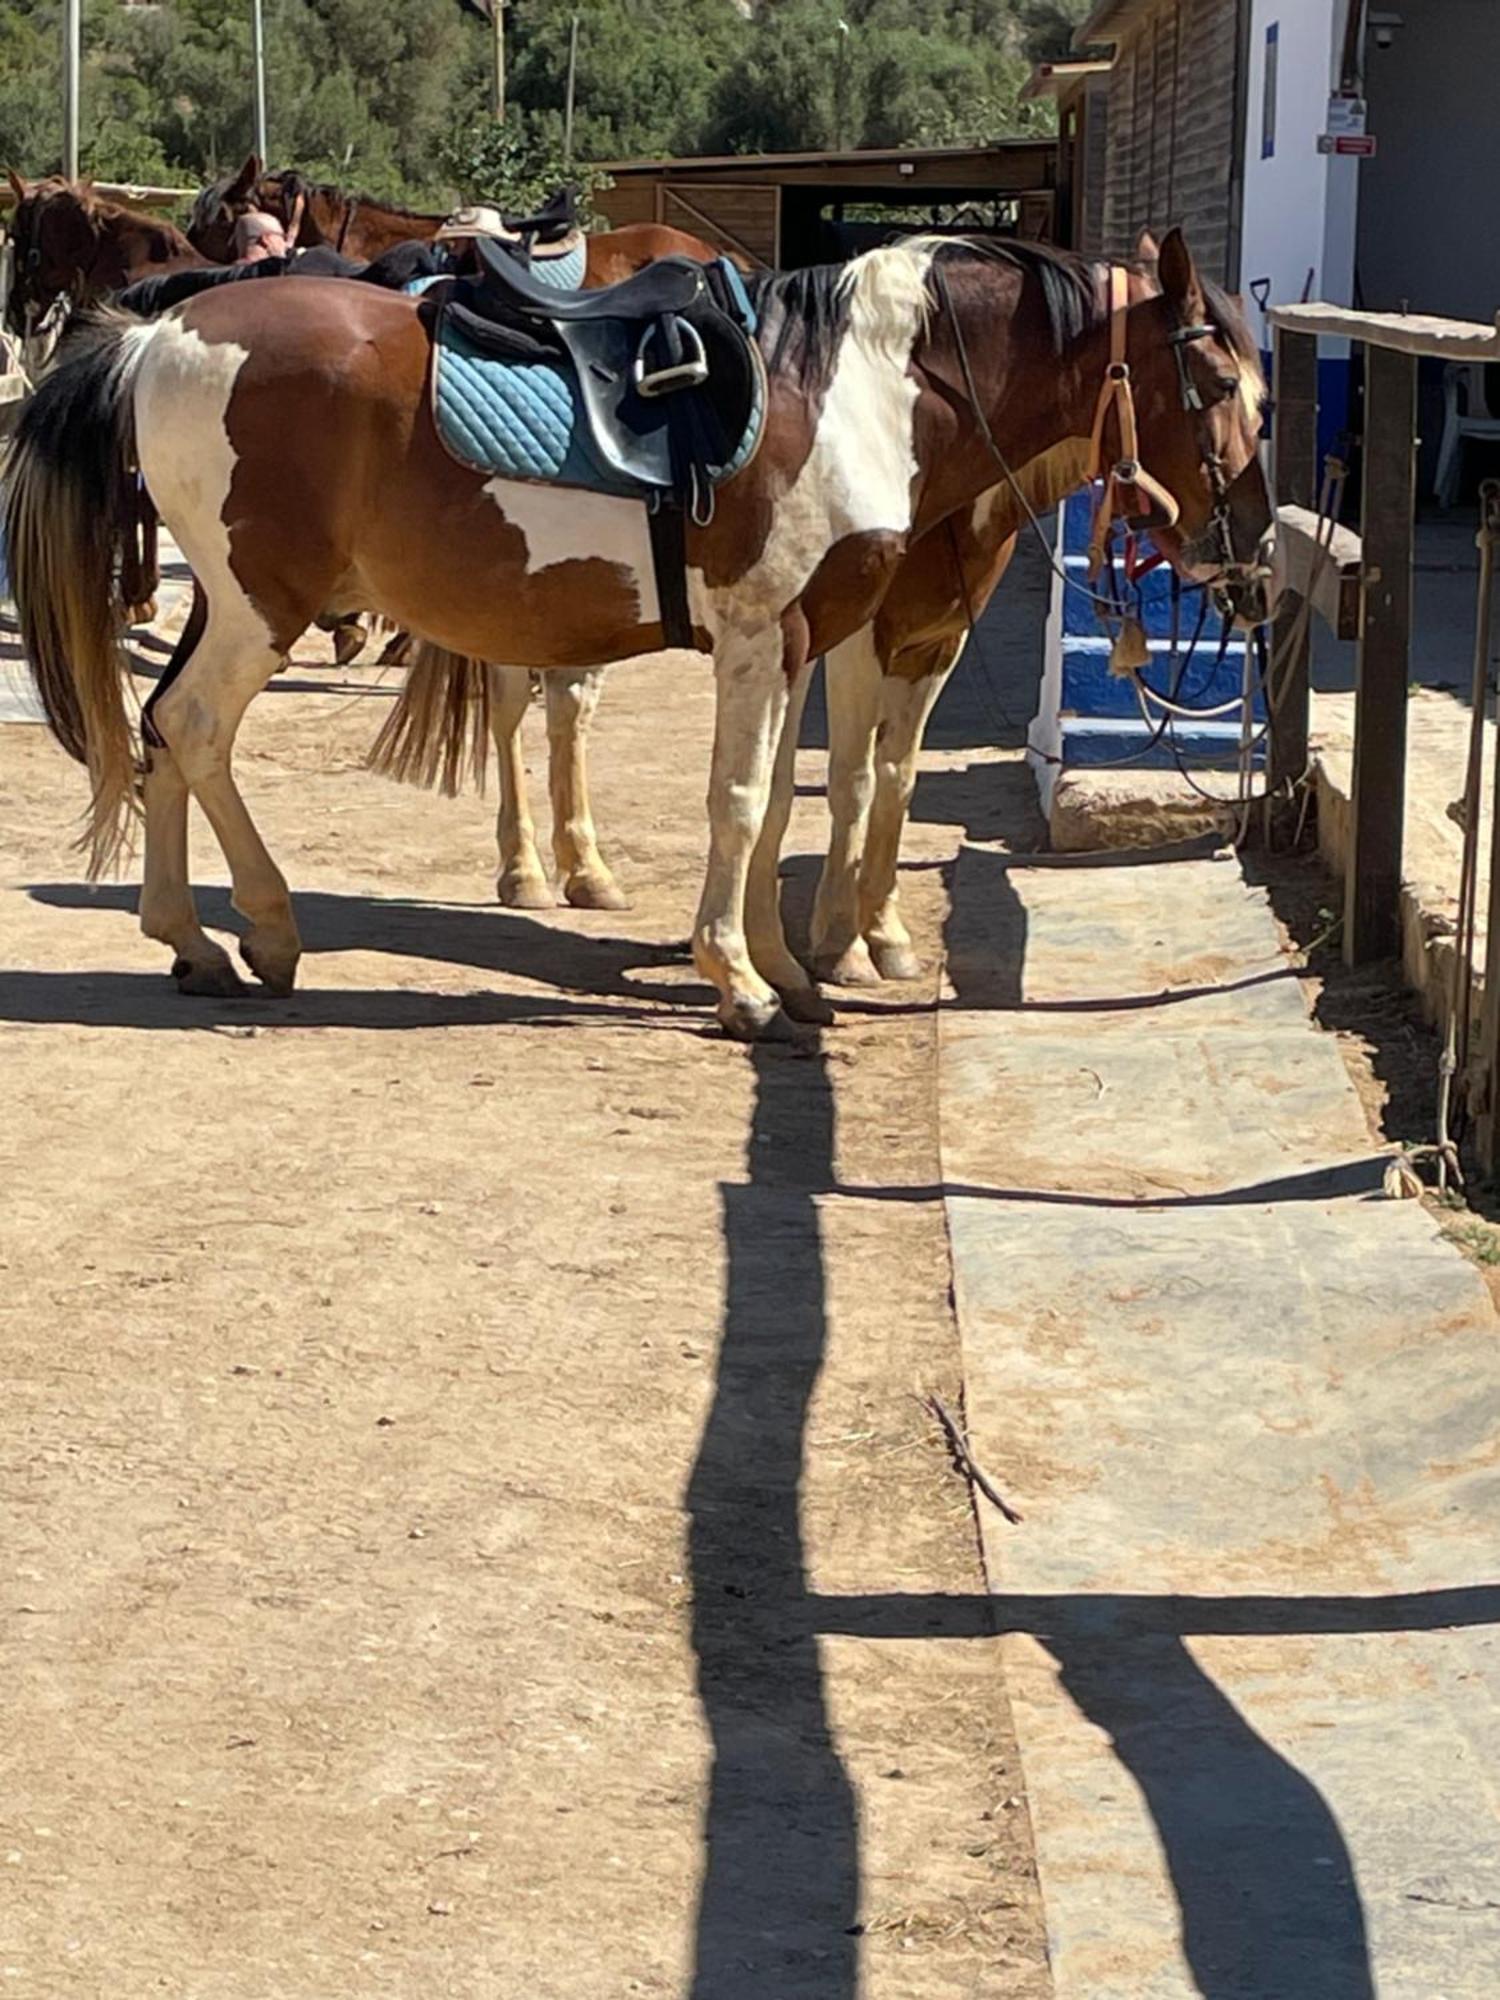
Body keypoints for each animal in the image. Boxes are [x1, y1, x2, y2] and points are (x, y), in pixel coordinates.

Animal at [2, 232, 1280, 1040]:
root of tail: (158, 337)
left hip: (225, 603)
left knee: (163, 737)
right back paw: (257, 931)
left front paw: (789, 967)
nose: (1257, 558)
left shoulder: (809, 640)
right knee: (195, 730)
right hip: (262, 606)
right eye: (1215, 382)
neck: (859, 391)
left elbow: (785, 805)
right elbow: (744, 802)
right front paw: (744, 982)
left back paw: (198, 942)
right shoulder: (767, 635)